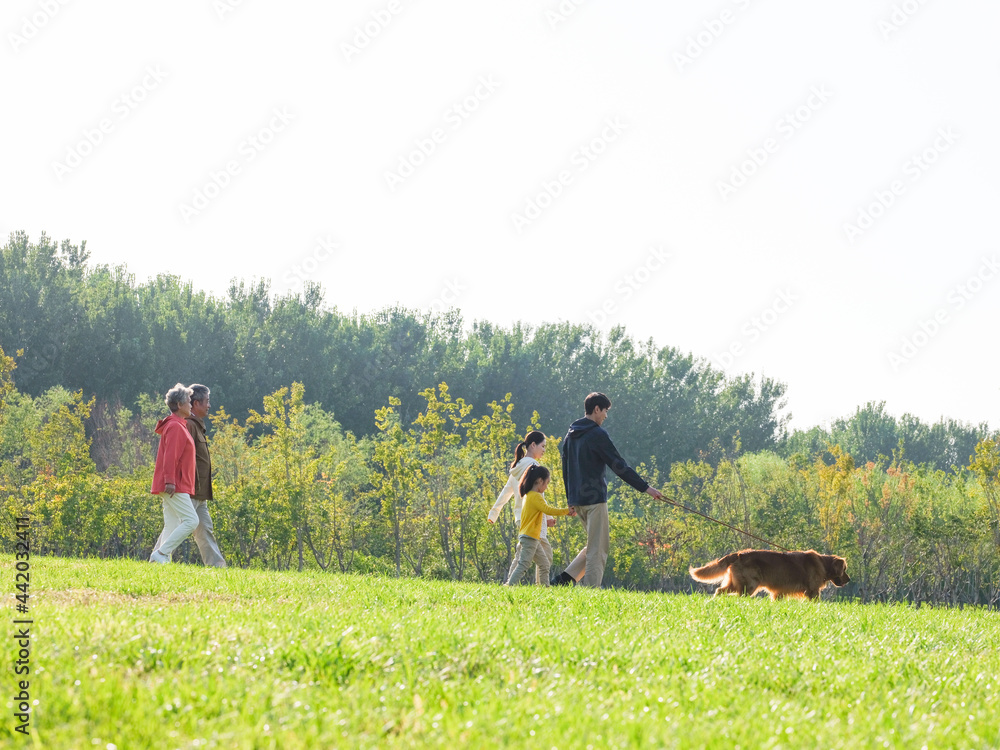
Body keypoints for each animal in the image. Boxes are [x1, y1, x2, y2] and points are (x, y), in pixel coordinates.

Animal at [692, 548, 848, 604]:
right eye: (845, 569)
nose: (849, 579)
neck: (823, 563)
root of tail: (739, 554)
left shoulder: (779, 592)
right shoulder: (813, 590)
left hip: (735, 584)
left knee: (719, 590)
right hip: (750, 585)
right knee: (739, 595)